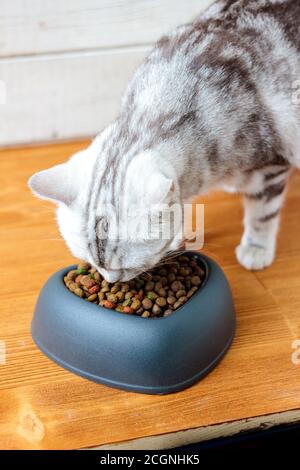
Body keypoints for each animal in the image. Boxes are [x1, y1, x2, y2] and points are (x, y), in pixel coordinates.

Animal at [28, 0, 300, 282]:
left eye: (125, 267)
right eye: (91, 262)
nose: (111, 280)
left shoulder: (270, 165)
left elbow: (262, 214)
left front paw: (256, 248)